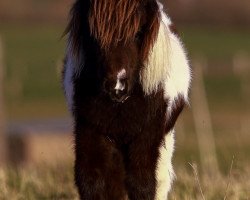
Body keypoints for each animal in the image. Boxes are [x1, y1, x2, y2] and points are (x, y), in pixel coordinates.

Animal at [63, 0, 191, 199]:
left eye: (138, 33)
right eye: (94, 35)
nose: (117, 87)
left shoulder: (147, 135)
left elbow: (142, 183)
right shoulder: (90, 130)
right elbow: (92, 181)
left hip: (165, 138)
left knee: (162, 179)